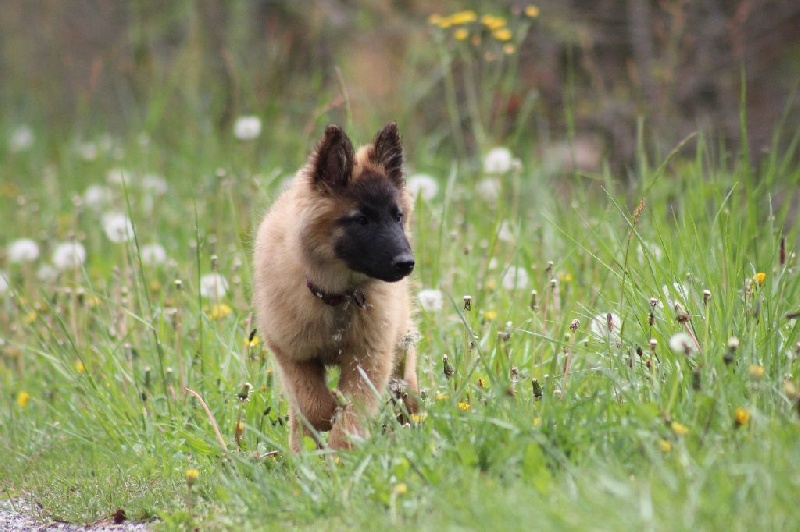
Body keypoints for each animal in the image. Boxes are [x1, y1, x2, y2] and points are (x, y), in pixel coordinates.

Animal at [253, 122, 418, 451]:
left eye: (398, 216)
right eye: (361, 219)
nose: (407, 263)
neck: (337, 296)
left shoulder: (369, 358)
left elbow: (353, 413)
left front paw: (343, 451)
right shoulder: (292, 353)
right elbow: (312, 405)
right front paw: (328, 413)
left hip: (402, 351)